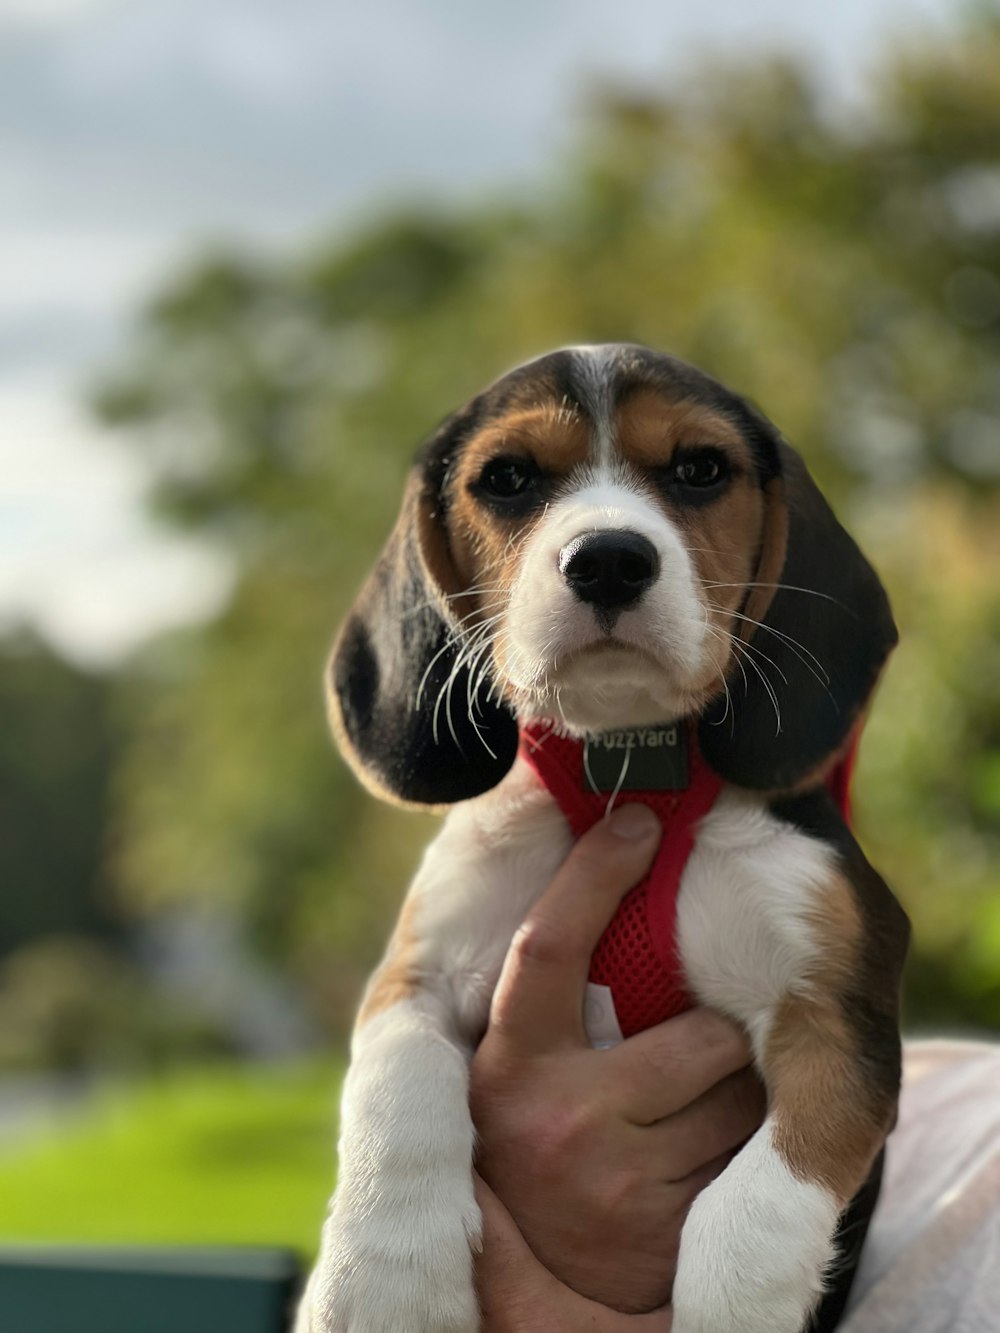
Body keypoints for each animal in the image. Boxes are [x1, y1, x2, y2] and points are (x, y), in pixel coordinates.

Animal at [301, 343, 912, 1333]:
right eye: (508, 478)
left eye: (700, 469)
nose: (610, 560)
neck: (627, 767)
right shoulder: (418, 969)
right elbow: (397, 1086)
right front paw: (381, 1280)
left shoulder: (831, 1013)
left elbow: (753, 1207)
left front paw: (730, 1308)